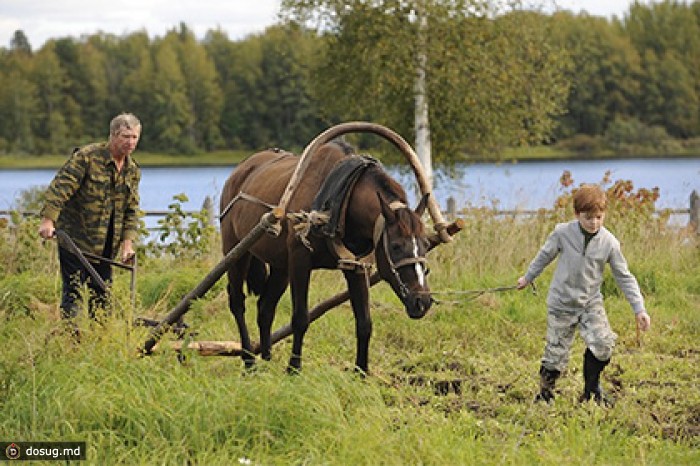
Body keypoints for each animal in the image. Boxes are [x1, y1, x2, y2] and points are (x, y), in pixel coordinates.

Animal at [219, 140, 432, 374]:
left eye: (426, 244)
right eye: (395, 246)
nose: (422, 301)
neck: (340, 202)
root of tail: (240, 170)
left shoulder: (357, 266)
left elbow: (364, 322)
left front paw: (361, 371)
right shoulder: (300, 261)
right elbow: (300, 318)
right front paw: (294, 368)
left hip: (281, 267)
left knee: (265, 307)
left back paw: (266, 357)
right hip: (236, 251)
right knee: (237, 302)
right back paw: (249, 361)